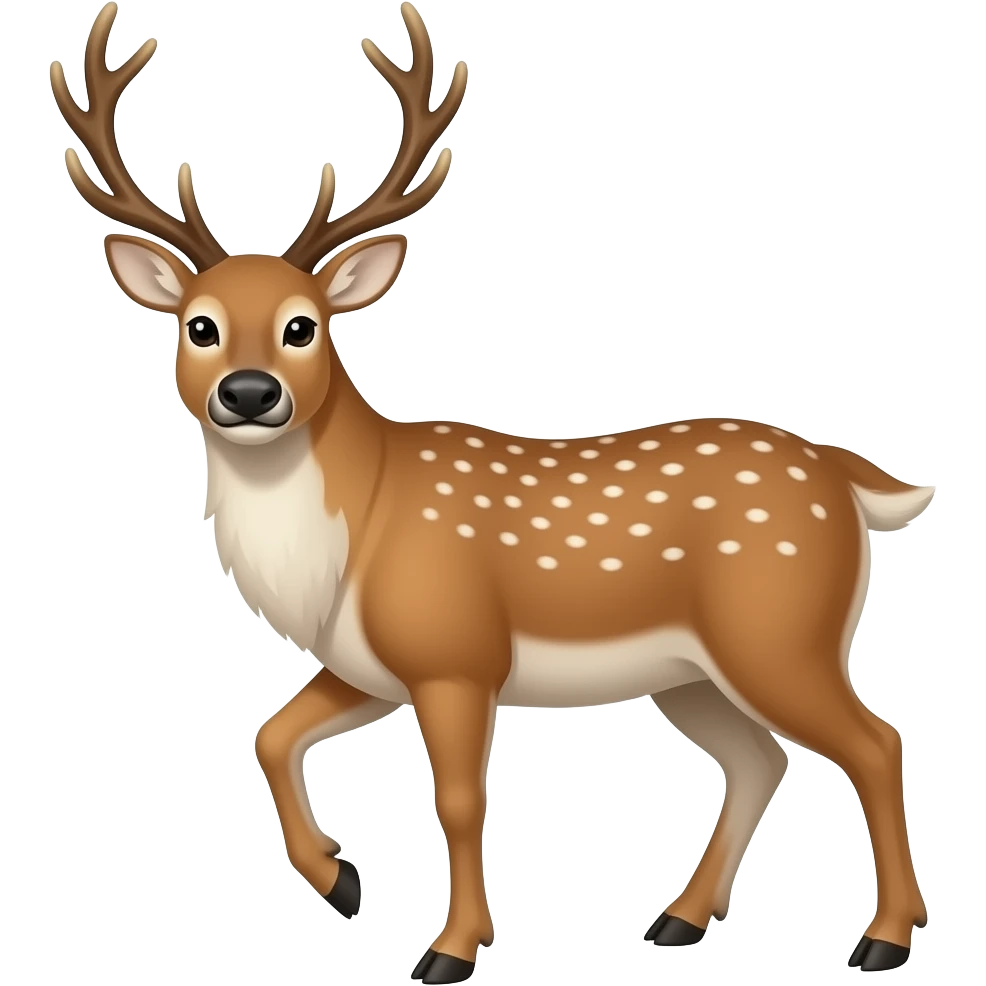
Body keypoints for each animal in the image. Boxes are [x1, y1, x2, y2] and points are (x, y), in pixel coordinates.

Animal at [50, 1, 937, 980]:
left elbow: (461, 803)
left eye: (304, 326)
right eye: (199, 326)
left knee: (873, 741)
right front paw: (342, 881)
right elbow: (271, 734)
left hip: (779, 628)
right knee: (758, 759)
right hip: (693, 671)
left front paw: (452, 949)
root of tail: (845, 475)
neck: (354, 530)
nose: (249, 393)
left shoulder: (455, 649)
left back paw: (883, 940)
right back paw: (678, 920)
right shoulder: (369, 661)